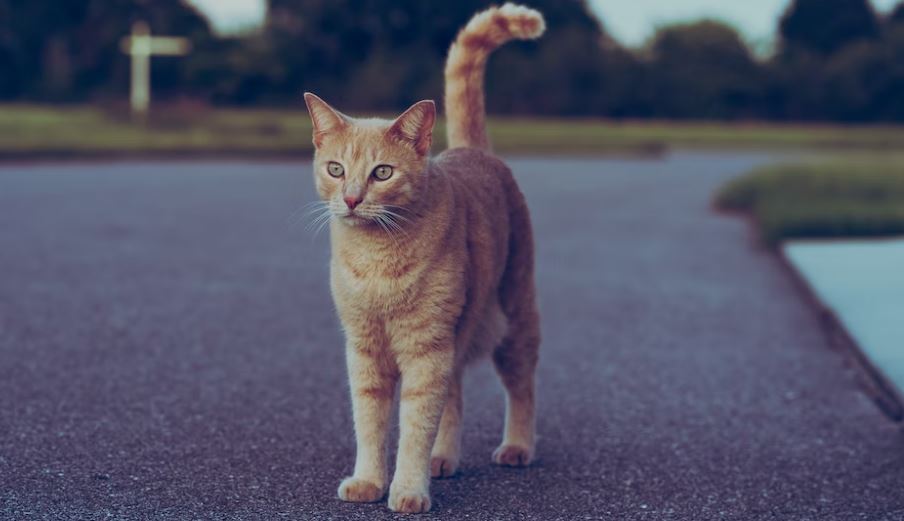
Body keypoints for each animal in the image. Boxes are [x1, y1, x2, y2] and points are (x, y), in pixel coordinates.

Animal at [304, 3, 544, 512]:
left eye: (381, 173)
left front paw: (408, 488)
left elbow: (415, 425)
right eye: (335, 169)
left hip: (514, 318)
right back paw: (443, 458)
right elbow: (371, 423)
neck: (376, 258)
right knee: (455, 398)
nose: (351, 199)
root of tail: (470, 150)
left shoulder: (425, 348)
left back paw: (517, 447)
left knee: (521, 387)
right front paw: (370, 481)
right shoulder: (365, 349)